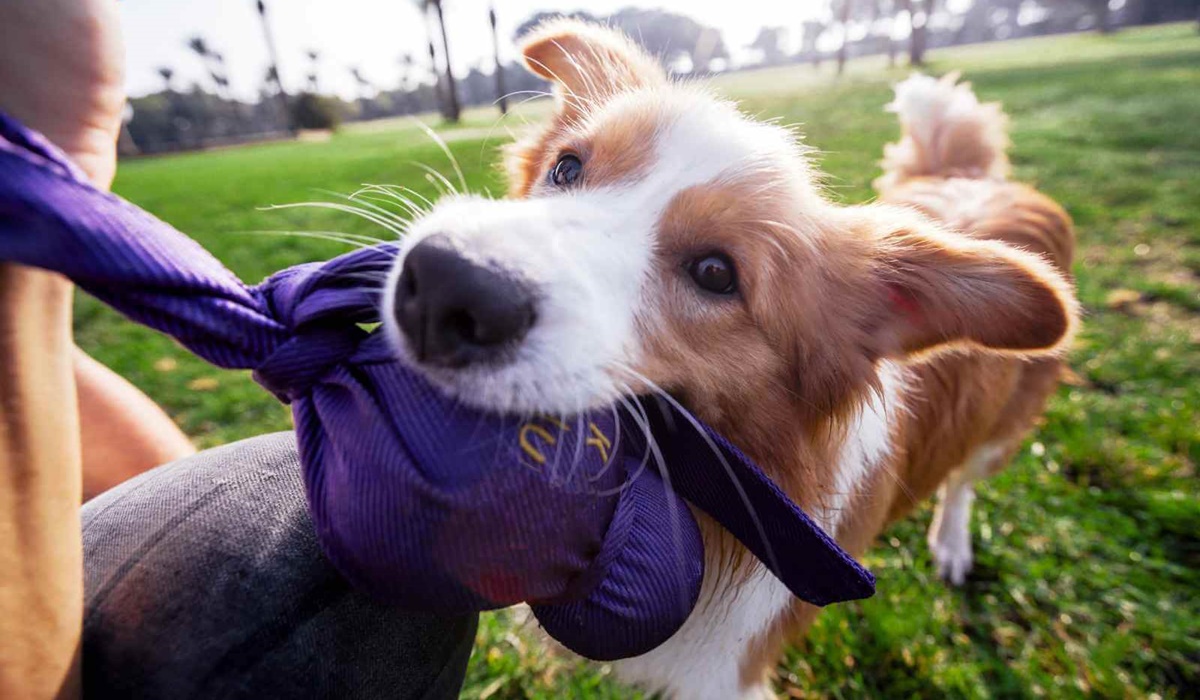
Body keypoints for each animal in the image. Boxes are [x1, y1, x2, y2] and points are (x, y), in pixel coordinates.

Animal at [384, 21, 1080, 700]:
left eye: (717, 273)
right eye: (567, 167)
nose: (445, 284)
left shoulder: (732, 671)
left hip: (1003, 426)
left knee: (964, 478)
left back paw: (952, 542)